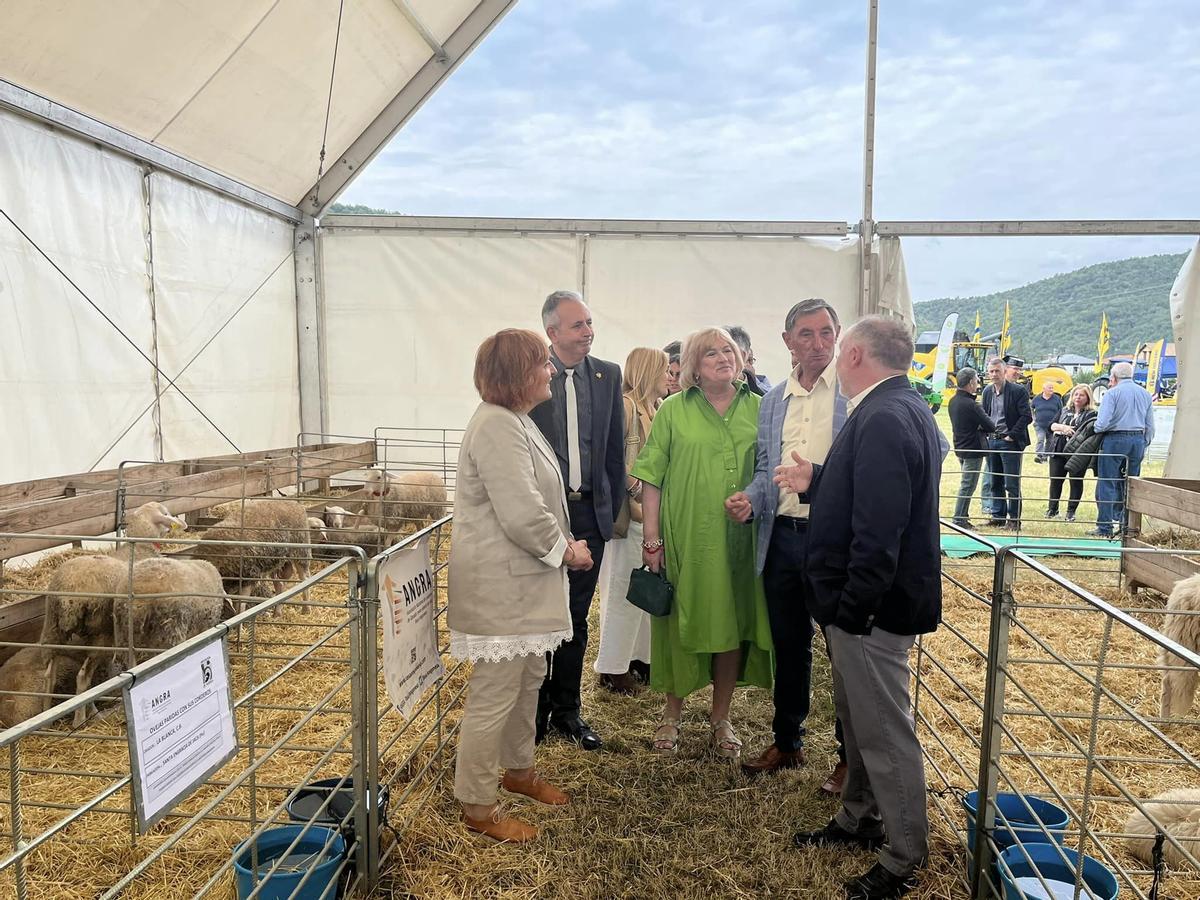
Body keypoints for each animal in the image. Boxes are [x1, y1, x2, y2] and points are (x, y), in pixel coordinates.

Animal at [40, 504, 184, 729]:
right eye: (166, 513)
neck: (140, 548)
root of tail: (70, 594)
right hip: (102, 633)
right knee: (82, 677)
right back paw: (81, 720)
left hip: (52, 628)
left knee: (49, 676)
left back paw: (47, 722)